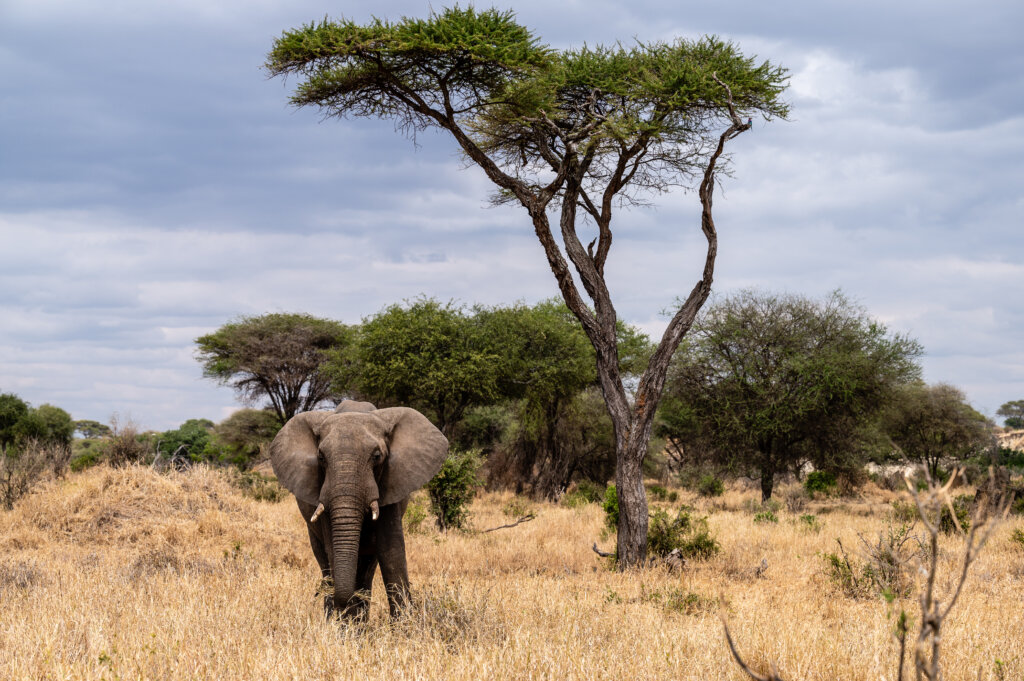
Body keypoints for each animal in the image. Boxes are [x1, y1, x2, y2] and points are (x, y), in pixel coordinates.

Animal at [272, 401, 448, 618]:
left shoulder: (391, 482)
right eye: (321, 457)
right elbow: (333, 549)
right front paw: (344, 623)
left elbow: (390, 551)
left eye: (377, 456)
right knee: (326, 563)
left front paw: (404, 624)